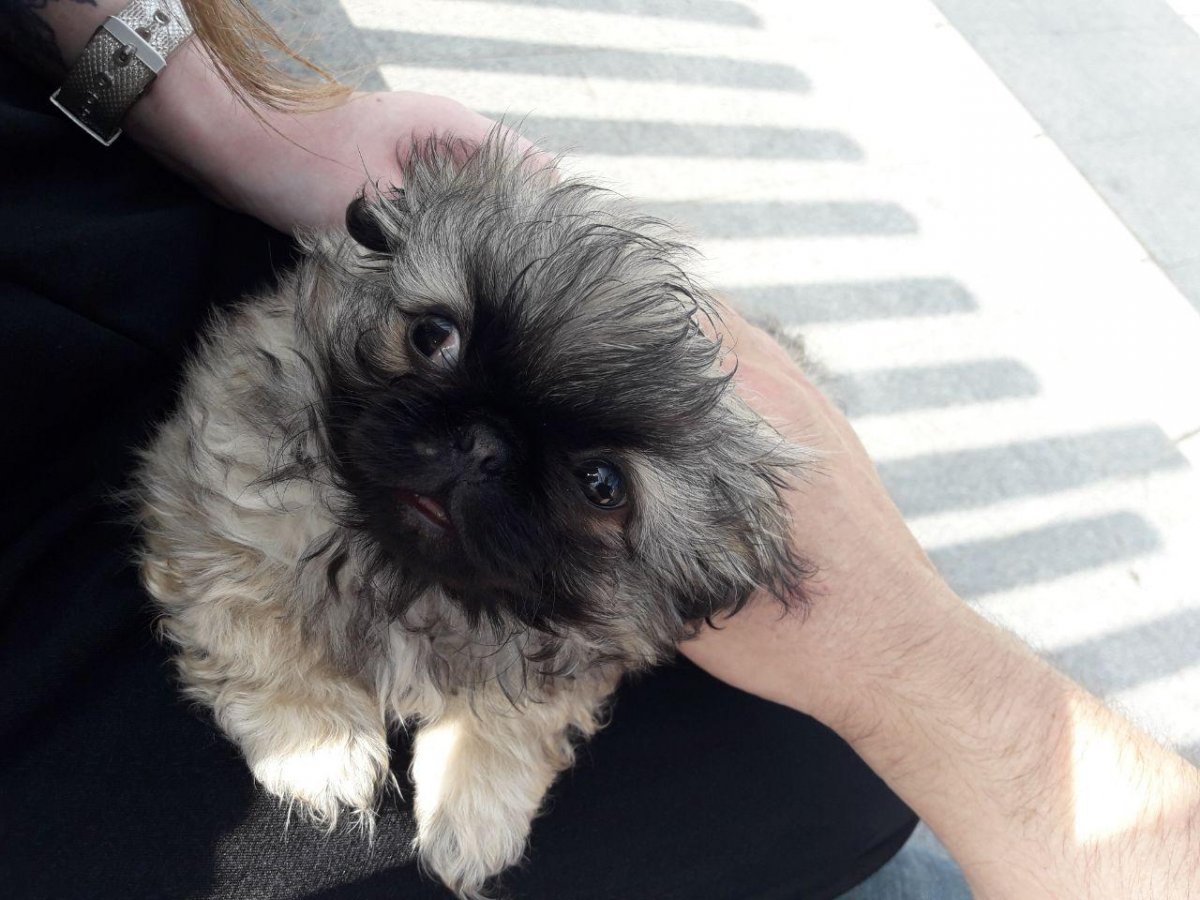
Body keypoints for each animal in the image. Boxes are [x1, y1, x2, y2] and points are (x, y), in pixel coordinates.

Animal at [138, 137, 816, 897]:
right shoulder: (217, 518)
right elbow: (263, 626)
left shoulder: (573, 656)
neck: (409, 574)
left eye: (601, 484)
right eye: (434, 335)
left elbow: (508, 720)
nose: (487, 444)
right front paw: (319, 743)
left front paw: (471, 809)